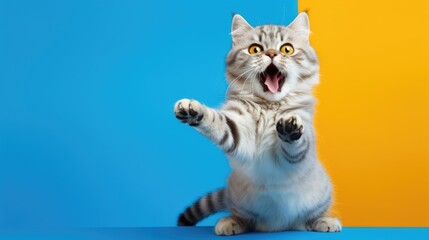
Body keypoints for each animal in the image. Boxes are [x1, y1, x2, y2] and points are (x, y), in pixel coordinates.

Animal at [173, 12, 342, 235]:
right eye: (255, 49)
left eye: (286, 49)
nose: (271, 53)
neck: (270, 106)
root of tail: (277, 225)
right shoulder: (240, 134)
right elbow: (218, 121)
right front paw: (193, 110)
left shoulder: (298, 147)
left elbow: (297, 143)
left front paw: (289, 128)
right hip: (238, 197)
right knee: (246, 219)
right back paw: (231, 222)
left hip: (322, 193)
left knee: (308, 219)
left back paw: (325, 221)